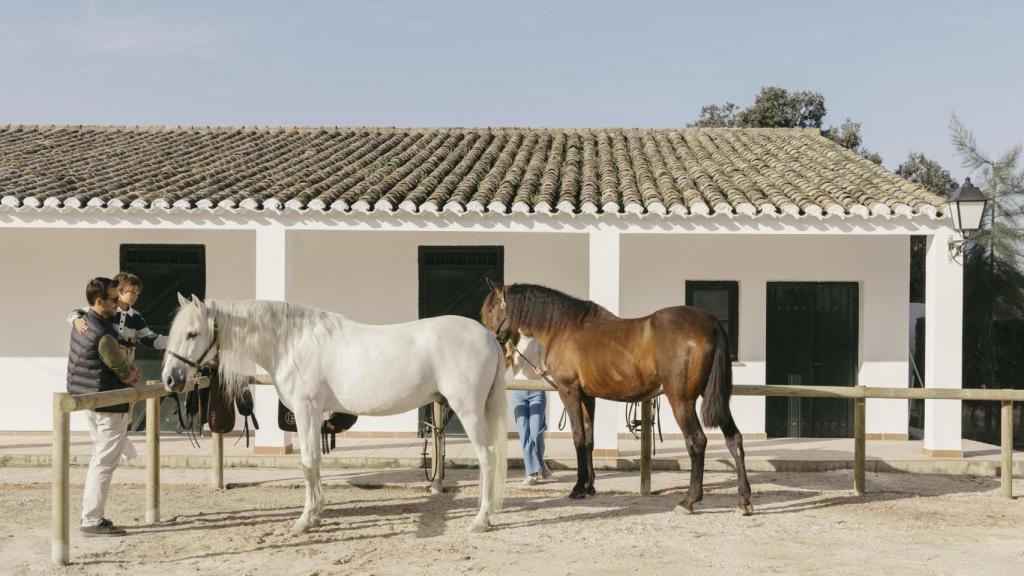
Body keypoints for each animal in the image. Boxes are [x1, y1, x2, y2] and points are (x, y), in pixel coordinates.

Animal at [161, 294, 508, 533]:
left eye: (193, 334)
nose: (170, 379)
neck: (291, 342)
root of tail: (489, 337)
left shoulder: (306, 411)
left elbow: (307, 464)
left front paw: (304, 520)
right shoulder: (315, 416)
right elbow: (314, 463)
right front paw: (315, 515)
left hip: (469, 410)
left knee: (488, 456)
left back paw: (481, 519)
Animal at [481, 281, 752, 515]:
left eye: (492, 308)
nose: (493, 344)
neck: (564, 327)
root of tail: (711, 323)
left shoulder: (569, 391)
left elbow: (578, 437)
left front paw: (578, 488)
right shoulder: (588, 396)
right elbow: (589, 439)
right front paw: (589, 486)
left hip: (681, 401)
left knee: (697, 442)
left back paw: (688, 501)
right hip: (716, 399)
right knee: (734, 439)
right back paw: (744, 501)